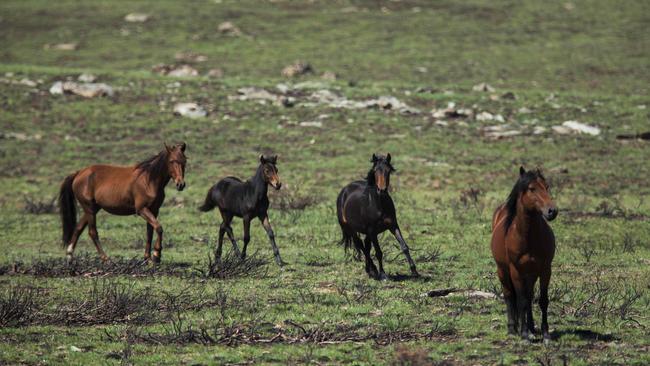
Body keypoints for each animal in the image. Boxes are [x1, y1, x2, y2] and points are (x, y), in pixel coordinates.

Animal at [57, 143, 187, 264]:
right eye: (172, 161)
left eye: (184, 161)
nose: (180, 184)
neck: (148, 180)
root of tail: (78, 173)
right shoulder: (142, 210)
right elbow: (159, 228)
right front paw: (156, 255)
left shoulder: (154, 210)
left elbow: (150, 232)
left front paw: (148, 258)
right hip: (89, 208)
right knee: (92, 232)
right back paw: (105, 259)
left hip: (92, 209)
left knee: (78, 228)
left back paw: (69, 256)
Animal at [336, 152, 418, 280]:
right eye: (375, 170)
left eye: (388, 170)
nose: (382, 190)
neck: (379, 204)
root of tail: (344, 191)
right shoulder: (372, 231)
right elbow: (379, 252)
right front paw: (383, 274)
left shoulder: (393, 226)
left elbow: (404, 246)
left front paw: (414, 271)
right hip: (352, 229)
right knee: (361, 246)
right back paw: (374, 271)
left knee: (366, 246)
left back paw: (370, 271)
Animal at [488, 166, 556, 344]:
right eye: (532, 188)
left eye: (547, 186)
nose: (552, 211)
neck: (527, 237)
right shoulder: (516, 271)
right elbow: (521, 301)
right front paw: (524, 335)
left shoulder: (545, 269)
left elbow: (542, 300)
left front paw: (545, 334)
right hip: (503, 271)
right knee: (510, 295)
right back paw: (513, 329)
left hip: (531, 274)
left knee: (529, 295)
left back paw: (531, 328)